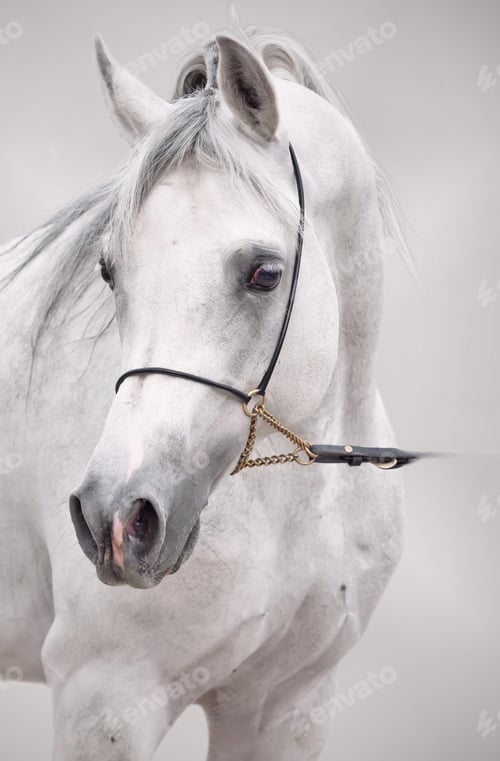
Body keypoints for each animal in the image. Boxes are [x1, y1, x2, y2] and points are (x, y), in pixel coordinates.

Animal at [0, 23, 406, 761]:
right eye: (108, 269)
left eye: (265, 273)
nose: (116, 518)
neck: (296, 505)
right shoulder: (107, 697)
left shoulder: (287, 704)